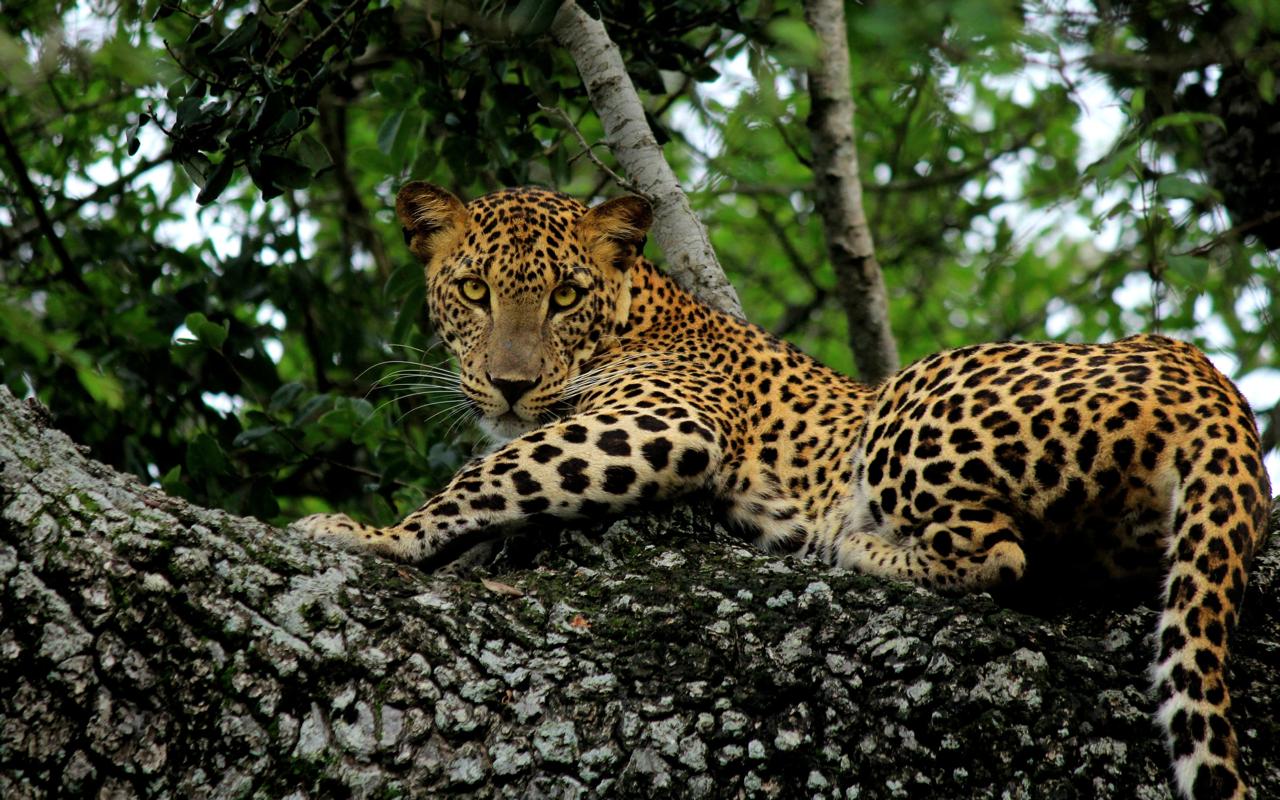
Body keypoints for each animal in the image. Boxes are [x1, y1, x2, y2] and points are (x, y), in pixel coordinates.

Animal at [295, 182, 1272, 800]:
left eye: (567, 295)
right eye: (472, 289)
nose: (509, 384)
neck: (637, 312)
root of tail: (1211, 383)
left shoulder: (662, 422)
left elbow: (484, 476)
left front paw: (366, 536)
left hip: (913, 400)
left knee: (996, 555)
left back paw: (849, 542)